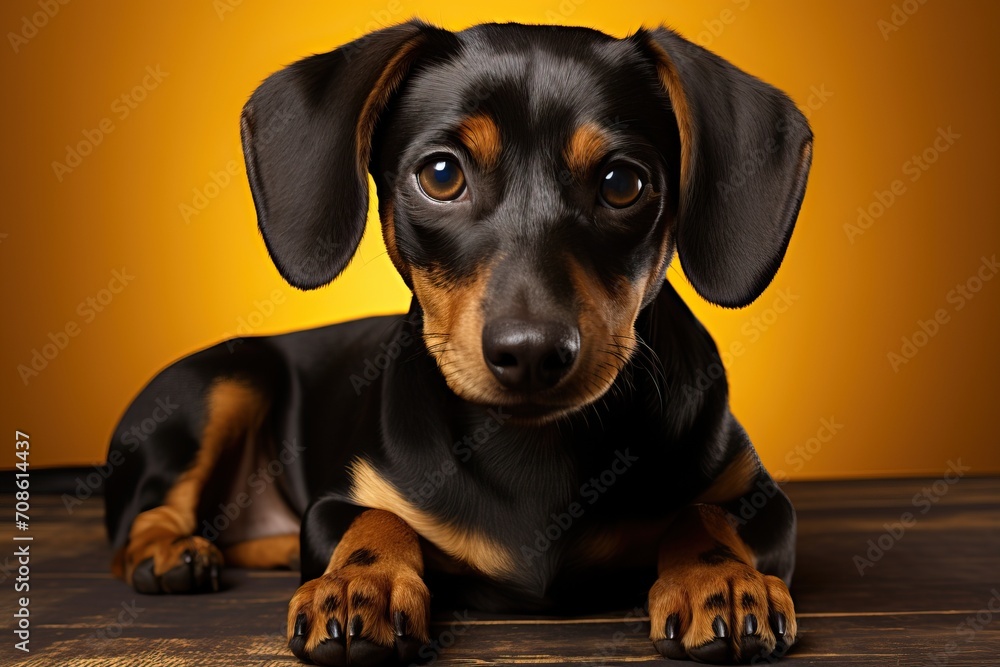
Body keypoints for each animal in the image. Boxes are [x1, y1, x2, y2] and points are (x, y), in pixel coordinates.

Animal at [105, 18, 812, 664]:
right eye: (441, 175)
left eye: (622, 183)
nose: (531, 353)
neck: (531, 451)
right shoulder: (335, 504)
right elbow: (378, 517)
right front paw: (359, 585)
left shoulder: (762, 499)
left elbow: (703, 514)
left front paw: (722, 579)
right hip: (223, 380)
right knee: (137, 525)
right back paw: (171, 555)